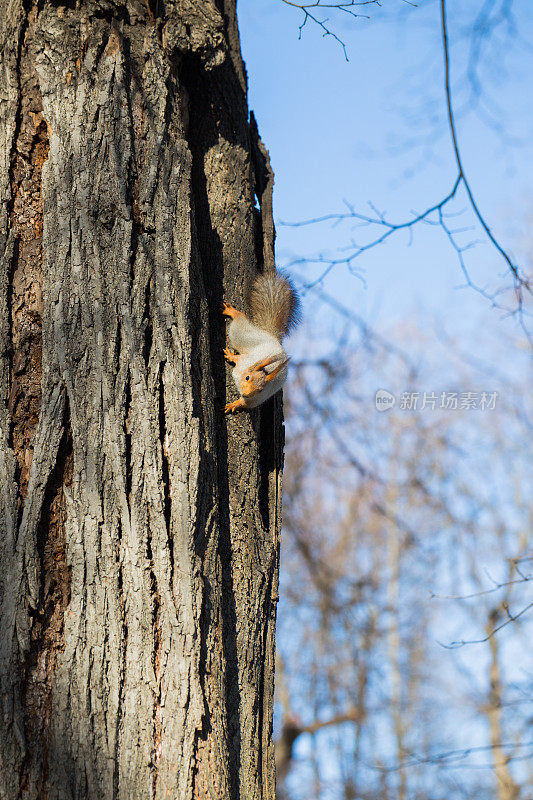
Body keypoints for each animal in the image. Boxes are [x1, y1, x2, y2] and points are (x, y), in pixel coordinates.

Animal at [222, 274, 302, 412]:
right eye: (247, 378)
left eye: (260, 390)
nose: (246, 393)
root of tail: (272, 337)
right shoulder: (244, 361)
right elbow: (237, 358)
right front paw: (230, 355)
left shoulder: (255, 399)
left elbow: (244, 403)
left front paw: (234, 405)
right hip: (245, 336)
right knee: (239, 321)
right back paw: (233, 312)